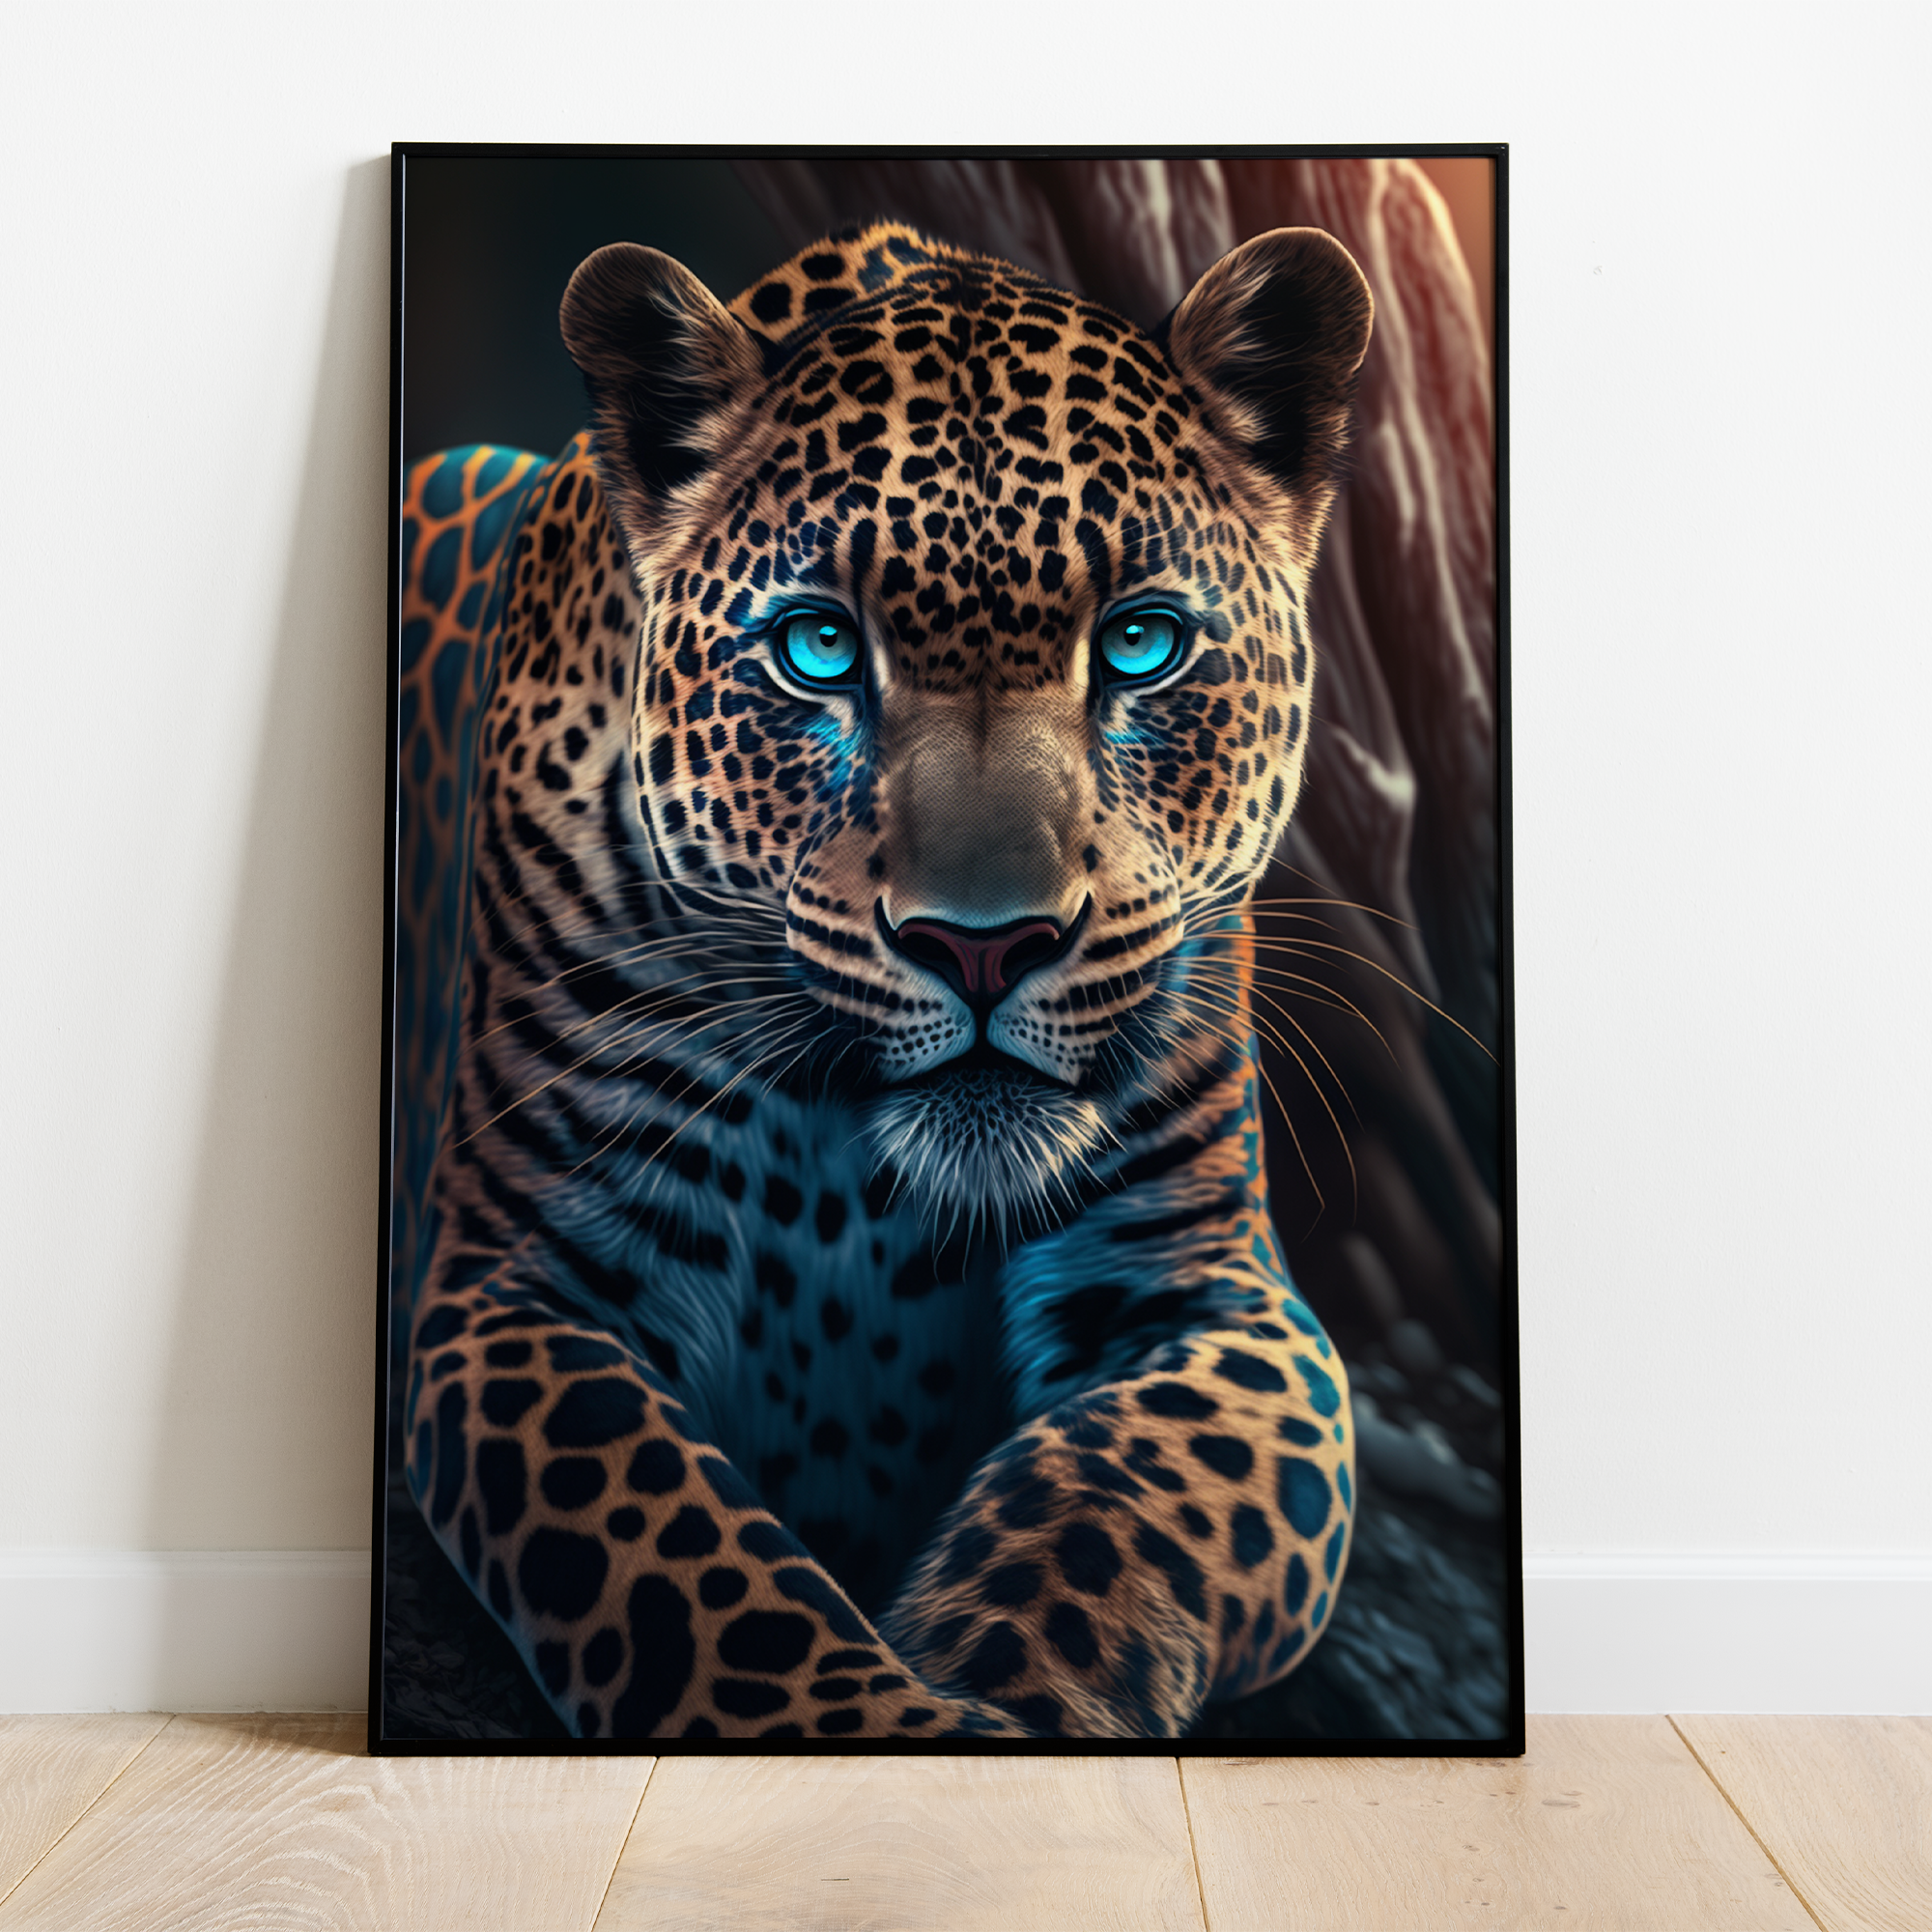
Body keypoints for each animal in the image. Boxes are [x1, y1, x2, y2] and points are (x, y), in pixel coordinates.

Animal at [391, 218, 1374, 1740]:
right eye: (819, 648)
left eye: (1140, 641)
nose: (985, 942)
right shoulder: (525, 1280)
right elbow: (698, 1579)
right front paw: (895, 1732)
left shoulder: (1200, 1286)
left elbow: (1107, 1515)